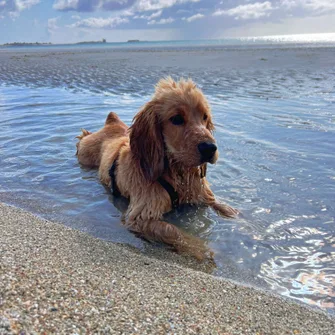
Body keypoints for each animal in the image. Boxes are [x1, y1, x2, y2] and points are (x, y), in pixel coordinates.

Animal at [76, 78, 239, 260]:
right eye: (177, 119)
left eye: (205, 117)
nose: (210, 148)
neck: (178, 174)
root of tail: (111, 122)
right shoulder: (141, 216)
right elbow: (174, 231)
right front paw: (200, 249)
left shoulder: (201, 193)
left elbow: (223, 206)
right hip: (85, 153)